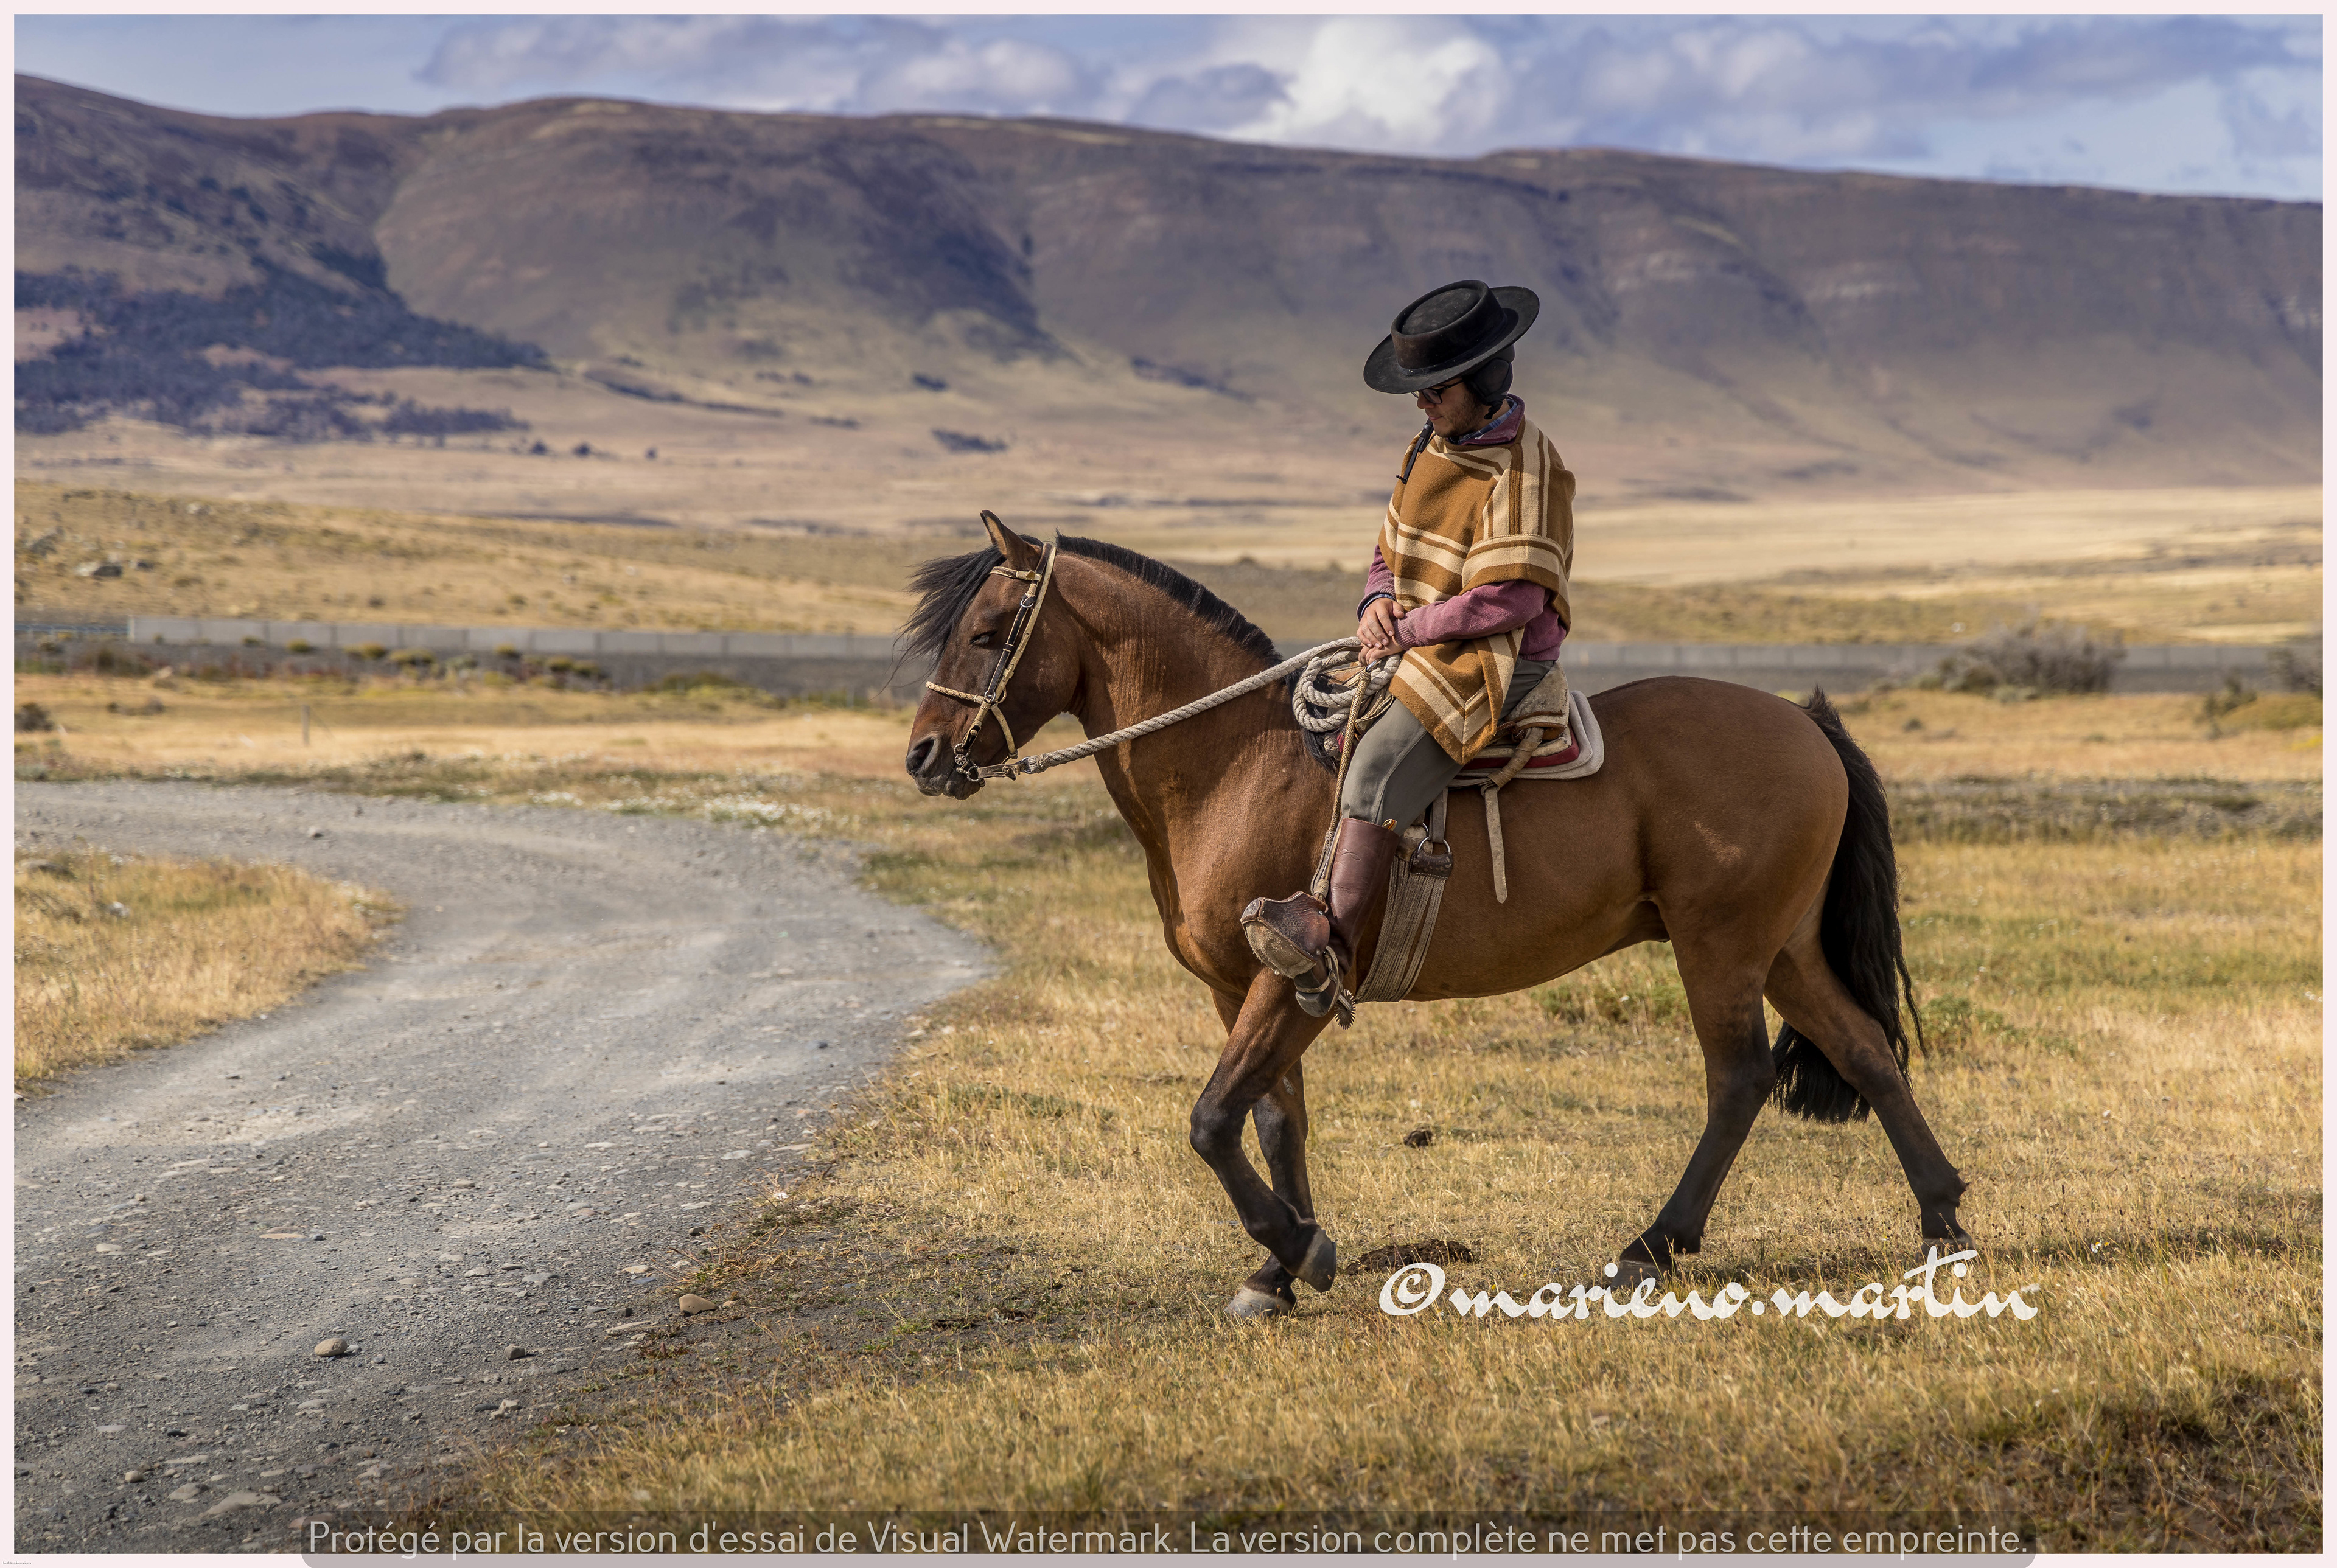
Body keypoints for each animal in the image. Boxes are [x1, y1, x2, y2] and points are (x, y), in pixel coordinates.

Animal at [902, 513, 1971, 1317]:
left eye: (989, 633)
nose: (923, 757)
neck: (1235, 763)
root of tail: (1805, 722)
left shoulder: (1286, 980)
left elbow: (1212, 1119)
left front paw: (1300, 1248)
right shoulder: (1247, 990)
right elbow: (1275, 1119)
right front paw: (1276, 1270)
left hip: (1722, 947)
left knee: (1740, 1078)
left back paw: (1653, 1243)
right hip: (1783, 948)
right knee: (1867, 1051)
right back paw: (1943, 1226)